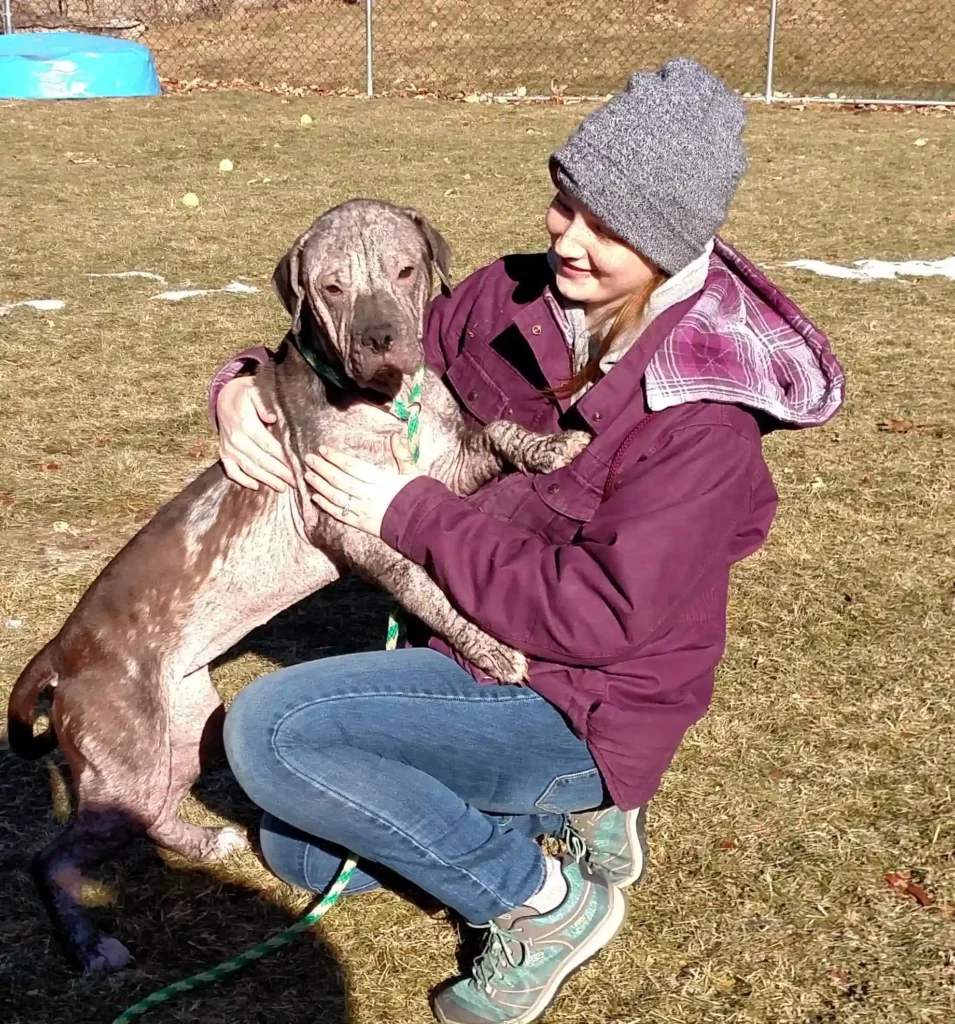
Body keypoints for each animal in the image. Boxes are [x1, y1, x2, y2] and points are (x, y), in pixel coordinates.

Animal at [7, 197, 589, 966]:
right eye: (332, 288)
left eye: (406, 271)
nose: (381, 339)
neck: (385, 402)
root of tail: (61, 651)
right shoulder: (349, 524)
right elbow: (423, 584)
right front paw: (487, 645)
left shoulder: (442, 470)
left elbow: (495, 431)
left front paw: (550, 447)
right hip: (124, 760)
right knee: (49, 861)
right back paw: (89, 945)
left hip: (184, 729)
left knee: (156, 814)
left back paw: (202, 842)